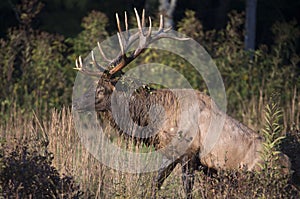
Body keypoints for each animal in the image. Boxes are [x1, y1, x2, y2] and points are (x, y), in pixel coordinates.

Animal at [71, 8, 290, 198]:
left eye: (100, 89)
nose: (76, 103)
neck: (155, 120)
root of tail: (289, 169)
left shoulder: (188, 153)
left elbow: (185, 190)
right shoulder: (169, 153)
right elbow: (155, 184)